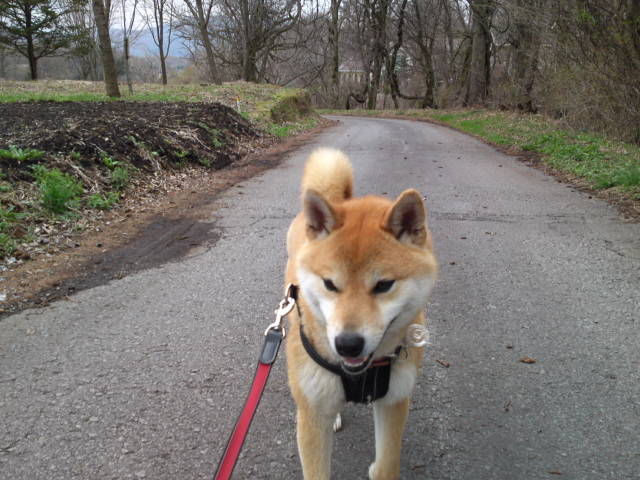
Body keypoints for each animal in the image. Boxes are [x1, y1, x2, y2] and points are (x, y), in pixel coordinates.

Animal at [284, 148, 438, 479]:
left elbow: (387, 465)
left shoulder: (394, 401)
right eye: (330, 284)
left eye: (383, 285)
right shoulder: (312, 418)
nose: (348, 345)